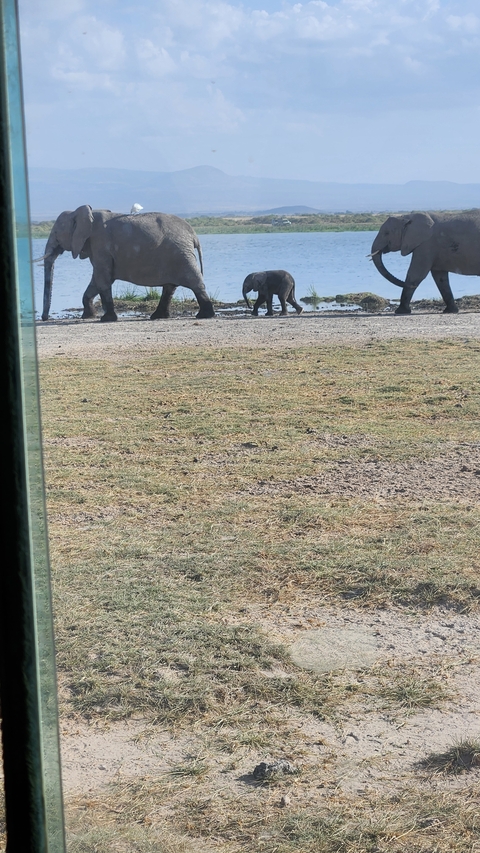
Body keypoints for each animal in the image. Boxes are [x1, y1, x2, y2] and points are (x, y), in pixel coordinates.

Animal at [41, 205, 215, 322]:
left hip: (181, 254)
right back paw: (158, 316)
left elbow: (103, 279)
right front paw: (89, 316)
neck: (82, 212)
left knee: (194, 282)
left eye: (55, 233)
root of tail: (194, 235)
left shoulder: (100, 245)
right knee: (170, 287)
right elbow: (97, 281)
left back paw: (205, 315)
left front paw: (106, 319)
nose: (44, 318)